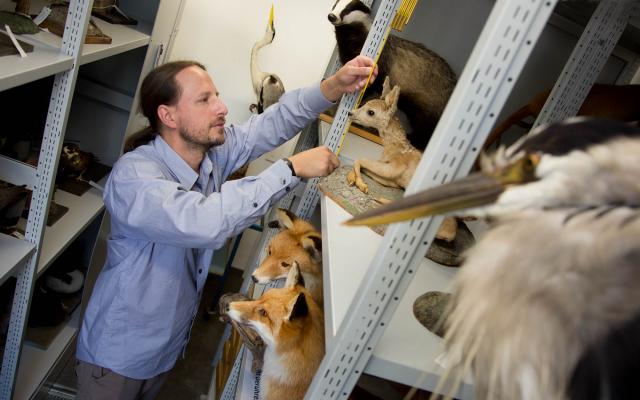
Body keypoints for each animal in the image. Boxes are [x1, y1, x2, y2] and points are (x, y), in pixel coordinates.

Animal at [330, 0, 456, 150]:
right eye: (335, 4)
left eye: (347, 9)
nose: (331, 16)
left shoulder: (379, 64)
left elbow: (370, 87)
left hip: (429, 105)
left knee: (425, 126)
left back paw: (415, 140)